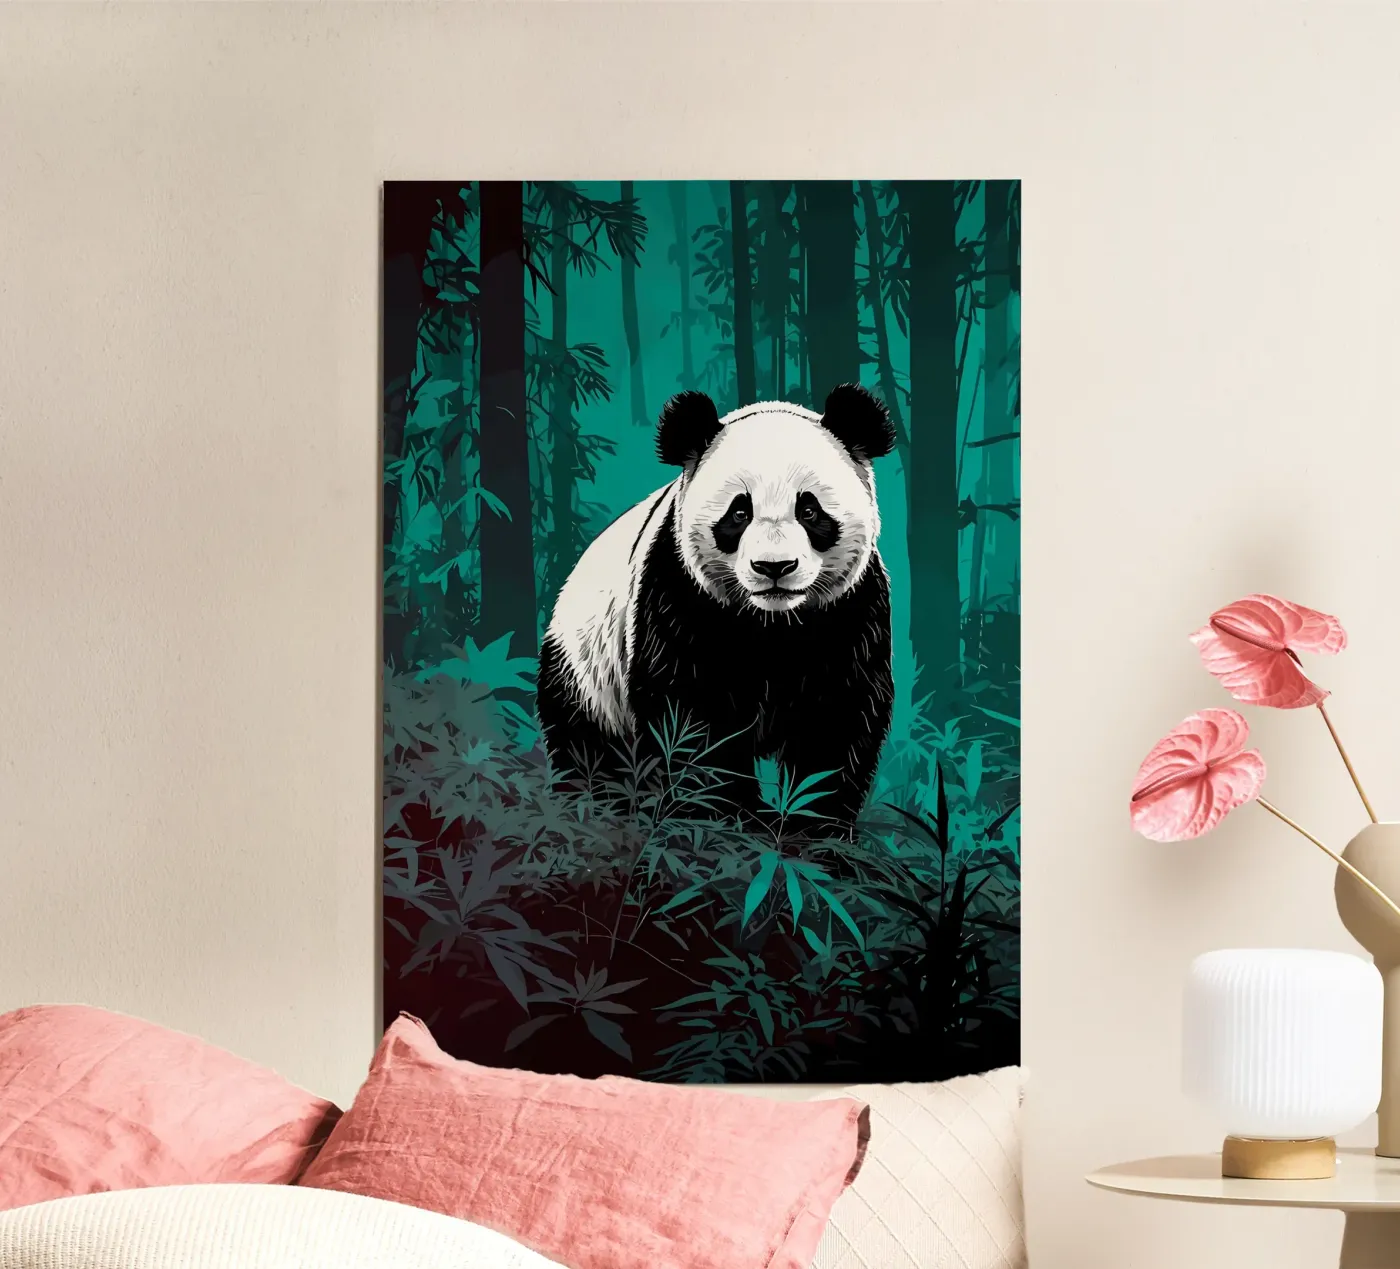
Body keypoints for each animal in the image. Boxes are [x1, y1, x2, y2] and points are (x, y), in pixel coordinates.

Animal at [536, 383, 896, 832]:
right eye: (739, 512)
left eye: (809, 510)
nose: (774, 567)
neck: (774, 621)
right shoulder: (681, 596)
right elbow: (691, 718)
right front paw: (733, 816)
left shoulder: (849, 611)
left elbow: (837, 719)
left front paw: (812, 824)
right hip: (585, 671)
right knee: (590, 750)